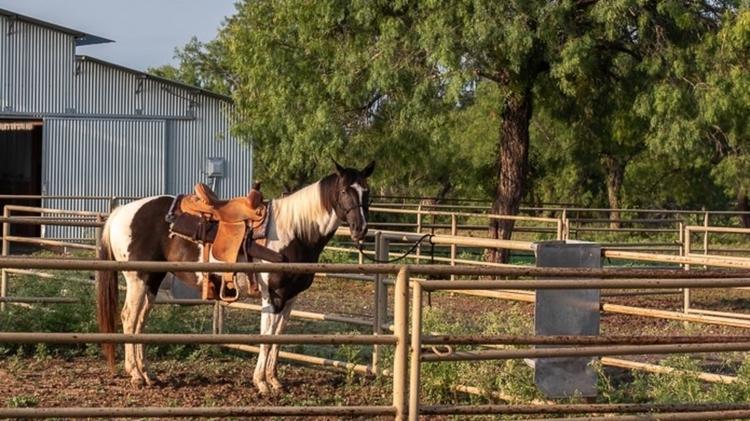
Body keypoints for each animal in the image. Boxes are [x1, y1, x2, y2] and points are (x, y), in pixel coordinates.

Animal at [96, 160, 376, 390]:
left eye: (367, 192)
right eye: (344, 191)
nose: (360, 229)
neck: (295, 231)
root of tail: (120, 213)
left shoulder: (290, 297)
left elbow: (279, 336)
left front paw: (274, 380)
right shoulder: (272, 296)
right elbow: (266, 337)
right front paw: (261, 383)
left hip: (152, 280)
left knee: (140, 322)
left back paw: (147, 373)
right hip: (137, 278)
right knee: (129, 318)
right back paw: (135, 375)